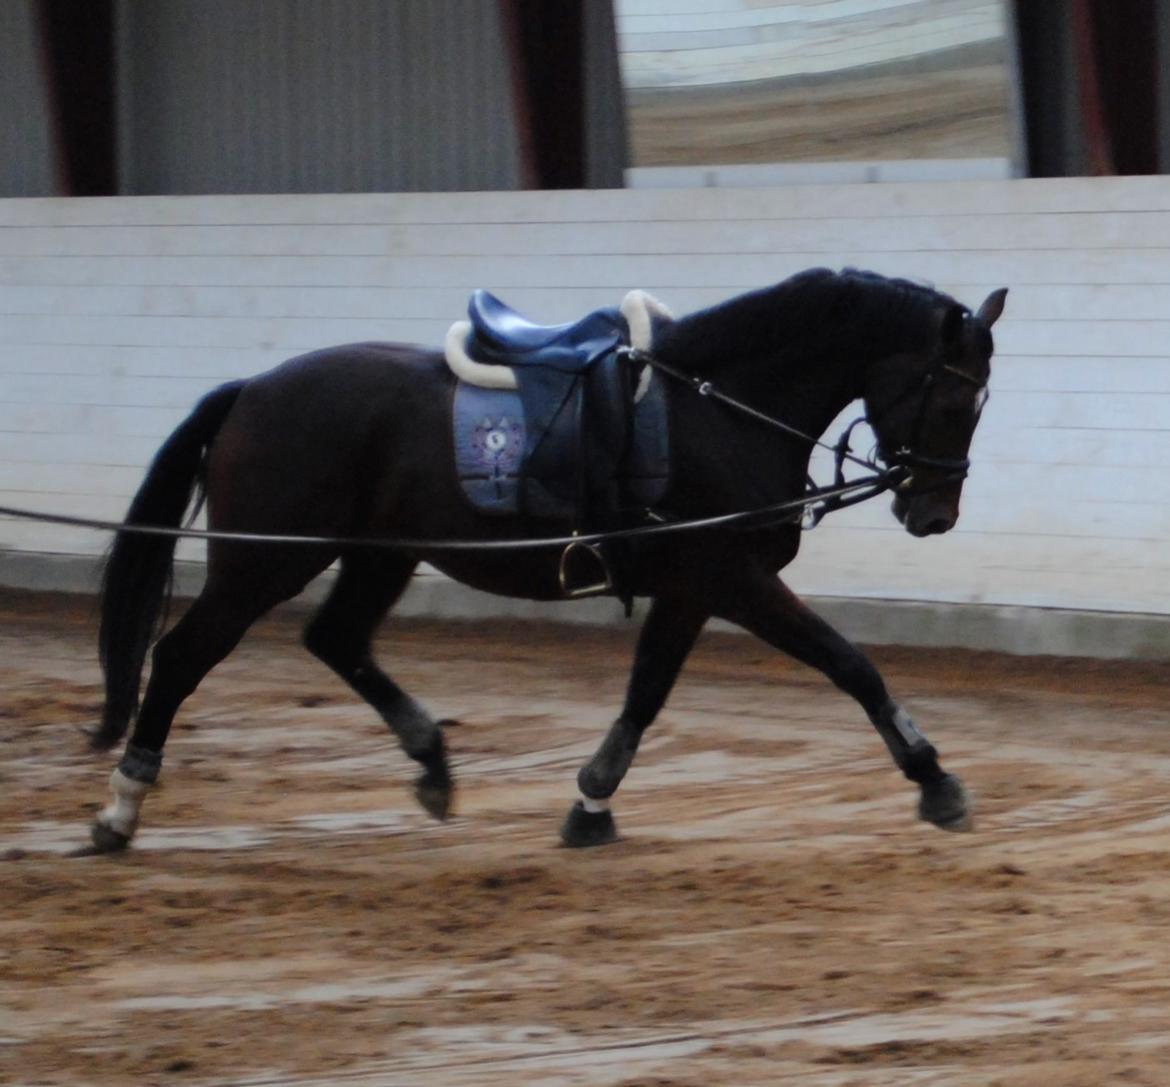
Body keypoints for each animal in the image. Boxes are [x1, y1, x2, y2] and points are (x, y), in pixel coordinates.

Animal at [88, 266, 1006, 851]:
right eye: (953, 400)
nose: (934, 513)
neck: (719, 405)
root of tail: (251, 389)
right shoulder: (731, 576)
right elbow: (850, 664)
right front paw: (935, 779)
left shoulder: (692, 587)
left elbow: (645, 693)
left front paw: (591, 802)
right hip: (261, 562)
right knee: (182, 654)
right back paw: (120, 811)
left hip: (378, 554)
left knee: (337, 639)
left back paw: (432, 762)